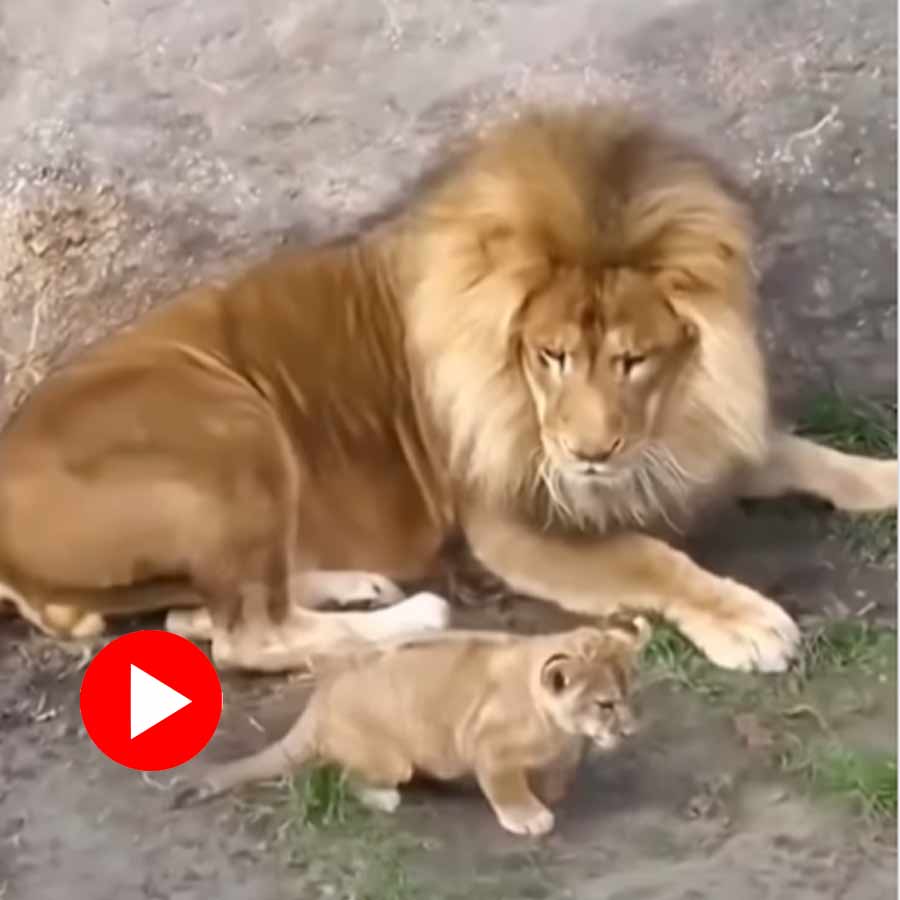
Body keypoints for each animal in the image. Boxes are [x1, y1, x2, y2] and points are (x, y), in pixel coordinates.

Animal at [0, 102, 895, 673]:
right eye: (551, 355)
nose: (590, 452)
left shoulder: (696, 432)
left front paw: (881, 478)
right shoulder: (510, 520)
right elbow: (651, 559)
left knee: (207, 613)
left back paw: (353, 584)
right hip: (230, 425)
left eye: (633, 359)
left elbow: (811, 456)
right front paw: (746, 621)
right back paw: (414, 614)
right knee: (246, 635)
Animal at [176, 618, 649, 836]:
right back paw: (384, 797)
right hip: (387, 760)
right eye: (606, 704)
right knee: (342, 774)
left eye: (630, 694)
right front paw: (529, 816)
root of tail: (321, 697)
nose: (631, 732)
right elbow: (506, 786)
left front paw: (550, 790)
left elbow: (559, 772)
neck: (561, 726)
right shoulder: (489, 746)